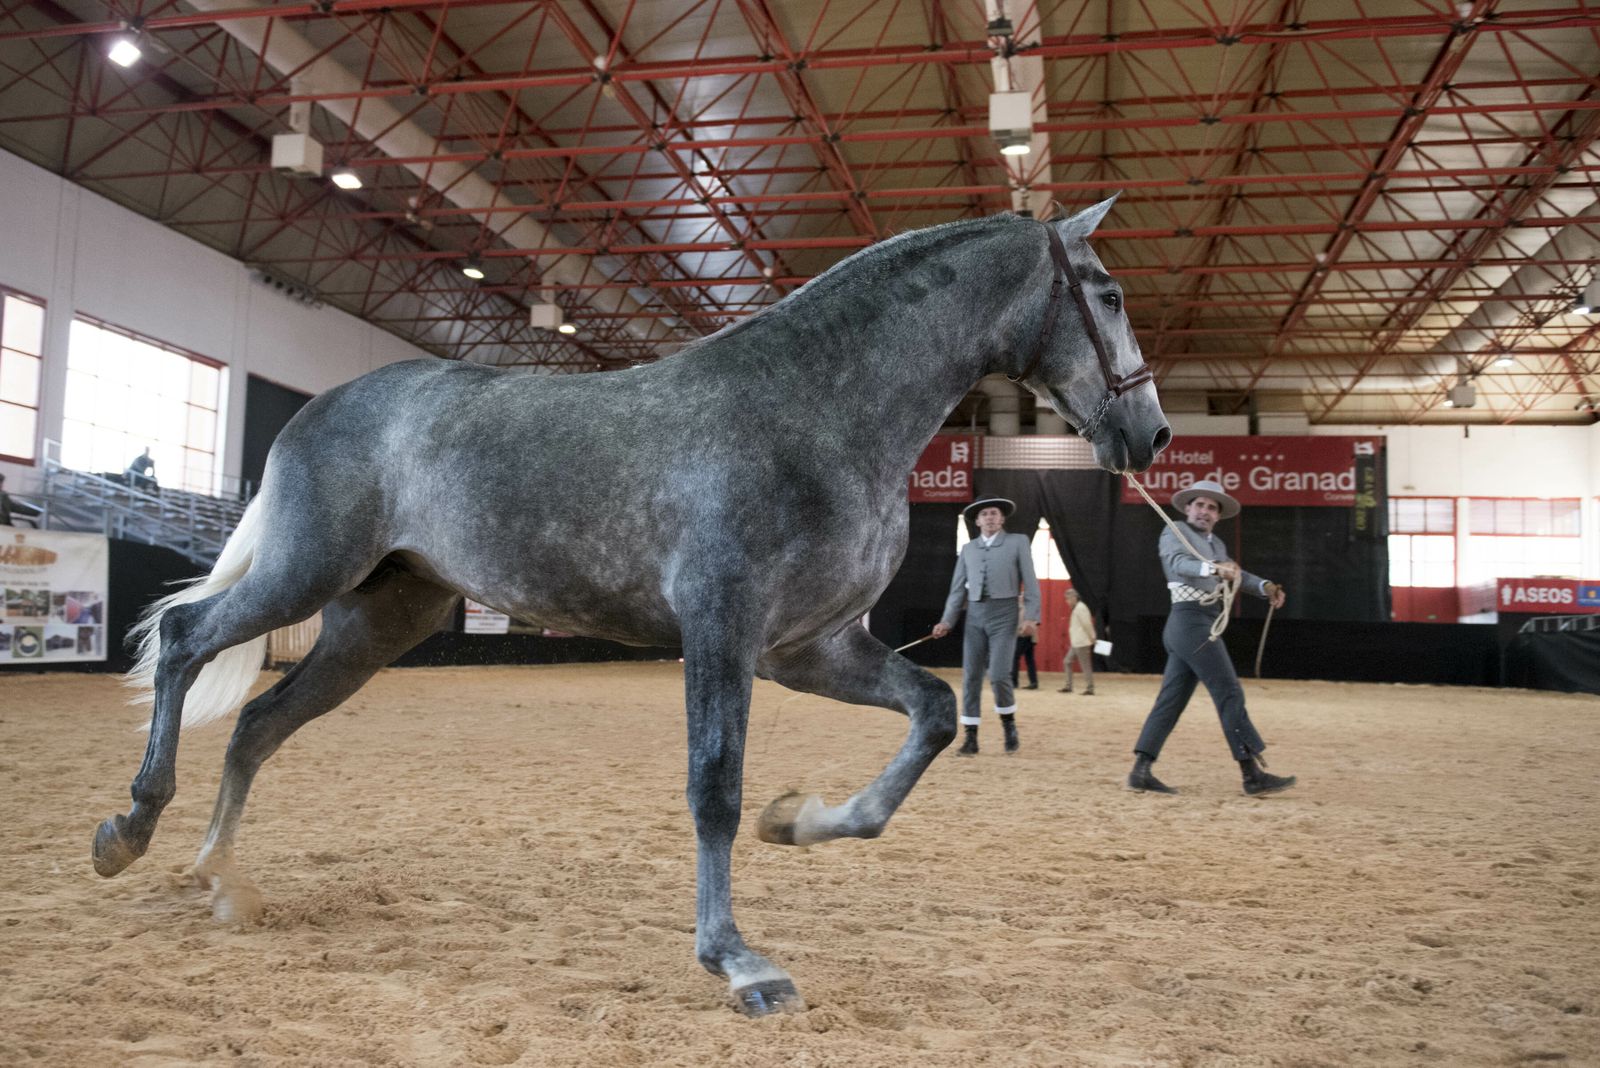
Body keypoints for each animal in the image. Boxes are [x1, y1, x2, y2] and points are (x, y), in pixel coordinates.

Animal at [92, 196, 1170, 1016]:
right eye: (1110, 294)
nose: (1151, 433)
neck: (815, 412)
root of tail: (320, 406)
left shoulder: (806, 647)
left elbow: (934, 714)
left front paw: (804, 821)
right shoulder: (723, 628)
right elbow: (713, 786)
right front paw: (739, 961)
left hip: (377, 622)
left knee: (260, 723)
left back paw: (221, 879)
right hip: (307, 573)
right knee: (186, 640)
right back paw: (130, 832)